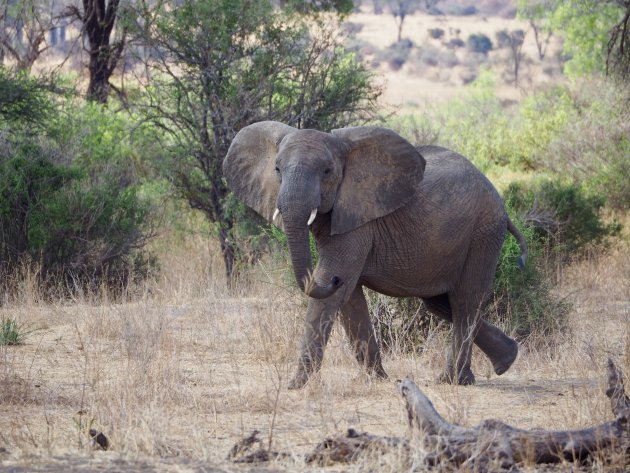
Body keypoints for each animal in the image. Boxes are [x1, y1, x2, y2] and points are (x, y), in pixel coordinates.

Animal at [222, 121, 528, 388]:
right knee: (441, 303)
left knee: (465, 300)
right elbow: (349, 298)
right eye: (276, 169)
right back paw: (506, 360)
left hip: (483, 232)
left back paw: (454, 380)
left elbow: (336, 293)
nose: (331, 279)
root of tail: (501, 203)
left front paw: (295, 385)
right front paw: (377, 378)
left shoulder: (358, 219)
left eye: (327, 171)